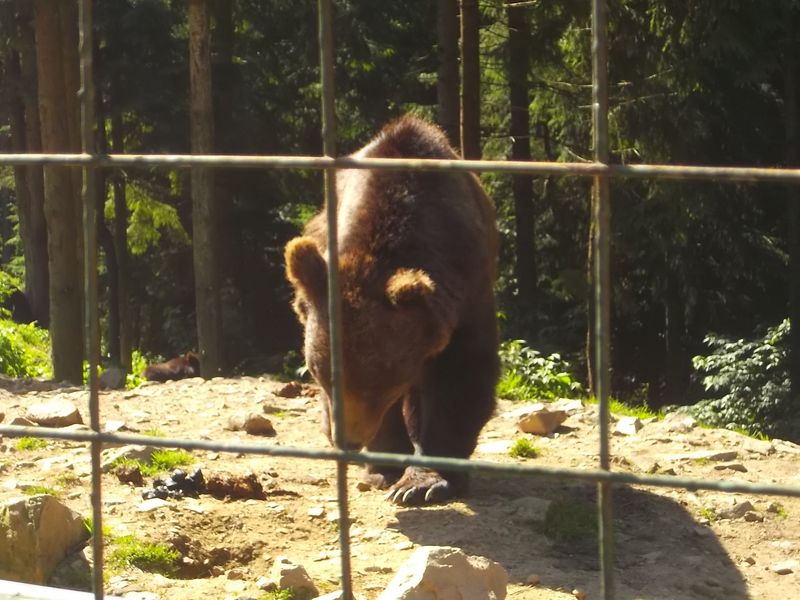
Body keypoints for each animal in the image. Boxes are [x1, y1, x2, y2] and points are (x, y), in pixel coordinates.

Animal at [284, 115, 499, 505]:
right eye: (319, 371)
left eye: (379, 381)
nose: (347, 440)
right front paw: (383, 469)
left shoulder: (467, 294)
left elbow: (461, 379)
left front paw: (424, 483)